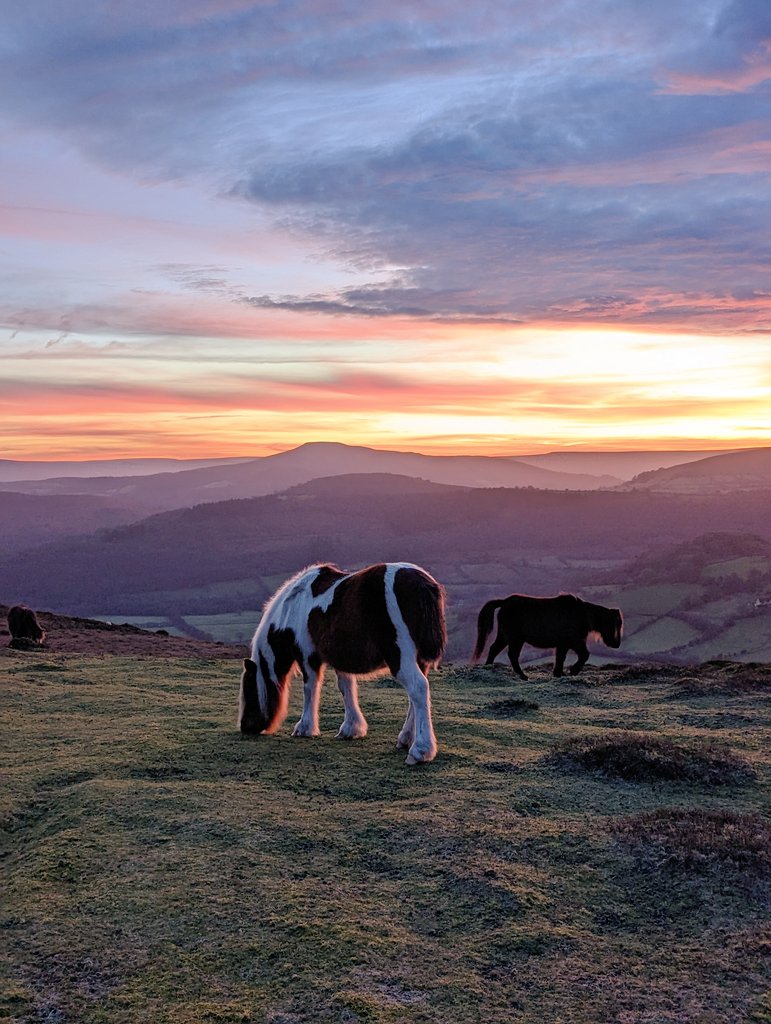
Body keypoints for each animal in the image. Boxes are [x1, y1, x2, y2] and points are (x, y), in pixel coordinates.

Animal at [239, 565, 444, 765]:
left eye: (249, 689)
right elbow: (346, 687)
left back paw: (420, 751)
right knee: (415, 696)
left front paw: (304, 728)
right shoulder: (340, 659)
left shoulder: (307, 657)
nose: (245, 726)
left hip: (400, 657)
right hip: (417, 660)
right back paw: (406, 739)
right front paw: (351, 728)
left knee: (418, 688)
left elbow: (310, 689)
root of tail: (423, 584)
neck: (295, 607)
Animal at [473, 593, 622, 679]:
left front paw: (559, 673)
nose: (616, 644)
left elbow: (560, 658)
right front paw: (572, 671)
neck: (582, 614)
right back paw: (523, 676)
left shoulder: (564, 644)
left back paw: (488, 667)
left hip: (504, 636)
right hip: (516, 638)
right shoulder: (574, 641)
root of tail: (504, 602)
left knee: (494, 649)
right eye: (616, 624)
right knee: (512, 655)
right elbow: (584, 655)